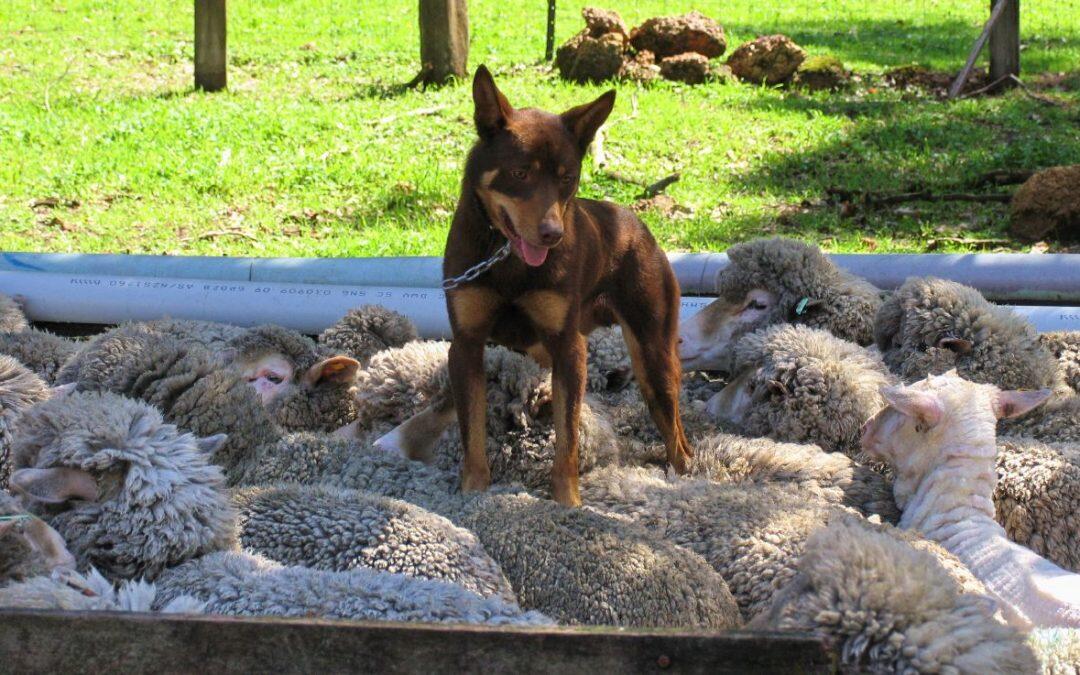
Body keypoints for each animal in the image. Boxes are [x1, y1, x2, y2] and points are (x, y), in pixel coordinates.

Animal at [380, 67, 691, 505]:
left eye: (567, 178)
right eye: (520, 173)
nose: (552, 235)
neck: (506, 258)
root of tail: (634, 224)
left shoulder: (568, 348)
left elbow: (568, 438)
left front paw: (568, 502)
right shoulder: (467, 345)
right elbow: (472, 431)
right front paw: (473, 491)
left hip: (653, 356)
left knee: (674, 432)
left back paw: (684, 476)